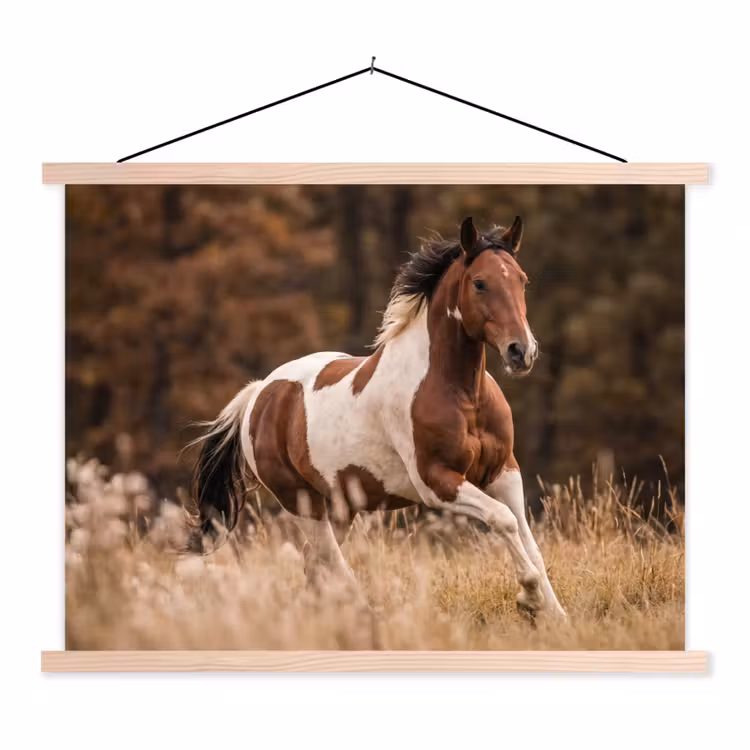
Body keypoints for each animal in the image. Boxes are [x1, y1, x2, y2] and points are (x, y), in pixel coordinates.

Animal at [187, 216, 566, 619]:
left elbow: (528, 540)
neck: (462, 394)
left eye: (522, 280)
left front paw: (556, 615)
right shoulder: (437, 482)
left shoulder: (503, 472)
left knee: (315, 564)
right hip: (302, 501)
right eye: (480, 283)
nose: (521, 351)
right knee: (329, 562)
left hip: (340, 506)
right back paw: (365, 613)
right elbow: (503, 520)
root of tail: (259, 393)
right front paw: (528, 597)